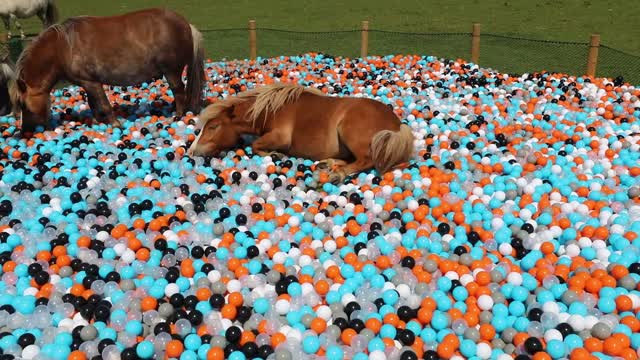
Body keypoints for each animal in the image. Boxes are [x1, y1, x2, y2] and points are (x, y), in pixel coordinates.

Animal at [8, 7, 205, 133]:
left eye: (23, 105)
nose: (25, 131)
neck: (62, 48)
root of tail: (187, 25)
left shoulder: (92, 82)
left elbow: (103, 104)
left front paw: (115, 124)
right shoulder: (87, 84)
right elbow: (93, 104)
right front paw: (97, 122)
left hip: (171, 71)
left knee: (179, 91)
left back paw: (178, 116)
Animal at [188, 82, 416, 183]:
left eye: (213, 126)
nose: (191, 151)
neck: (270, 109)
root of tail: (397, 125)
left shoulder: (280, 137)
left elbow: (256, 145)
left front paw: (275, 154)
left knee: (366, 160)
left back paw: (337, 173)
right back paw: (329, 164)